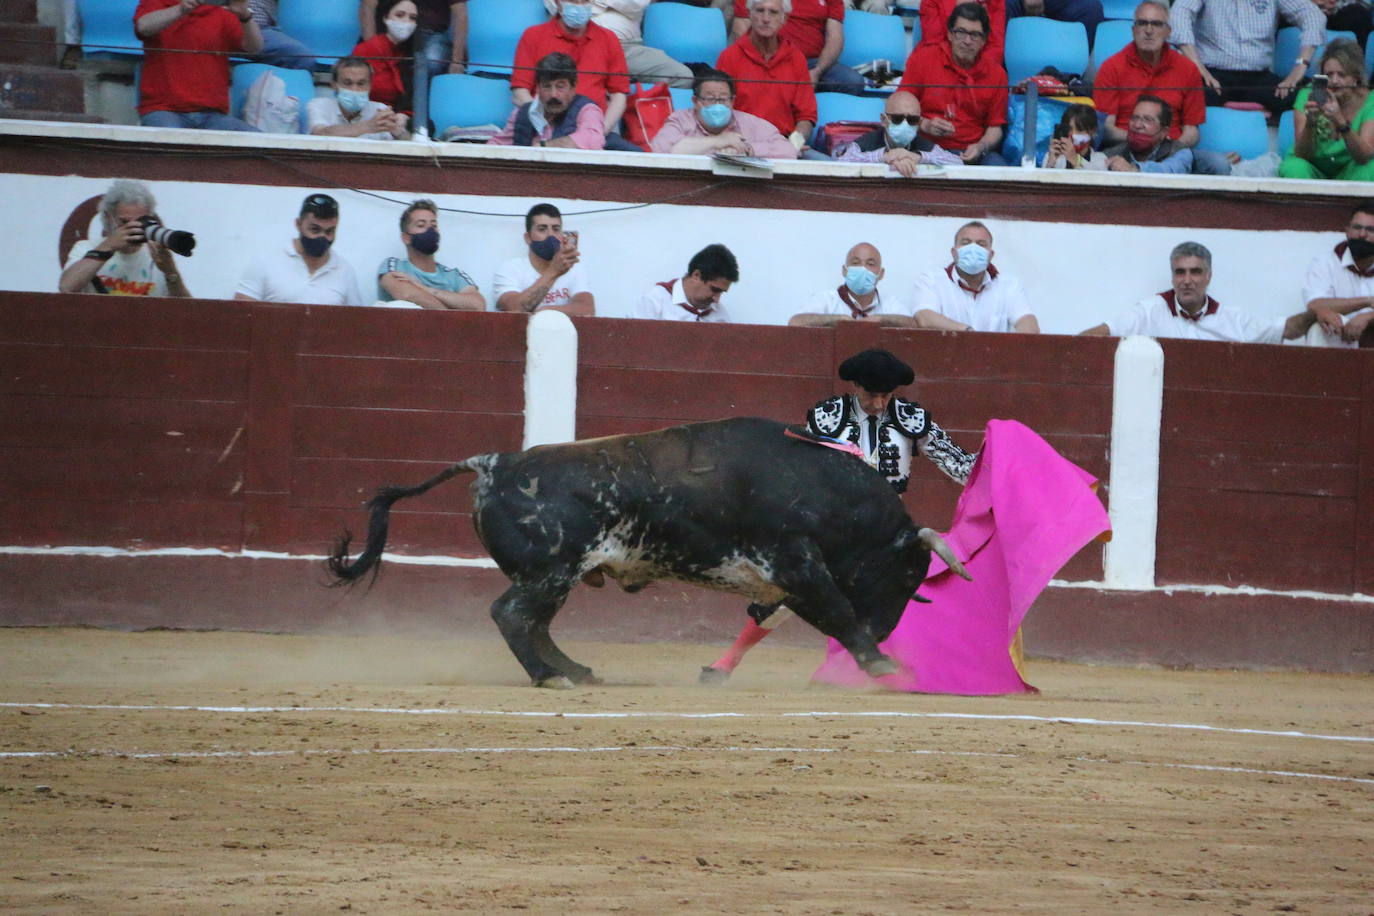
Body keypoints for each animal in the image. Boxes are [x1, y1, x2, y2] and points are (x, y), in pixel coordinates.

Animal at [324, 414, 967, 686]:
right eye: (906, 575)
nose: (886, 631)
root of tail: (493, 462)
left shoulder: (784, 579)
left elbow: (807, 615)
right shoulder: (798, 565)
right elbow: (837, 612)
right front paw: (883, 664)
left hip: (554, 576)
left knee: (534, 622)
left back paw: (576, 671)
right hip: (550, 570)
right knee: (511, 616)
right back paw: (550, 677)